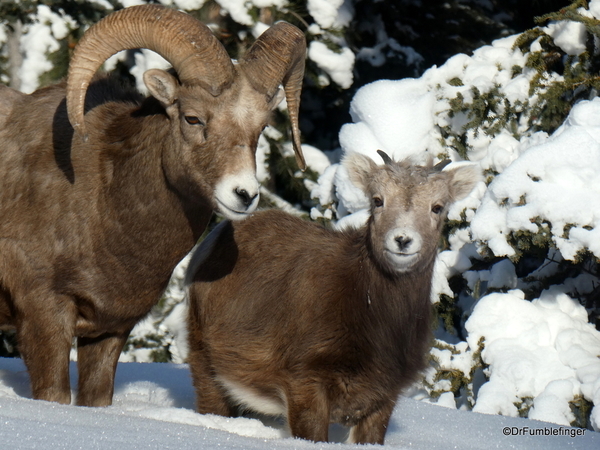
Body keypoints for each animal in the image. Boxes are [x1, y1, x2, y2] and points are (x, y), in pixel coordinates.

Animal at [186, 151, 478, 442]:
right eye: (377, 200)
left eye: (437, 206)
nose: (403, 240)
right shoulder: (303, 379)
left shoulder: (384, 394)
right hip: (203, 358)